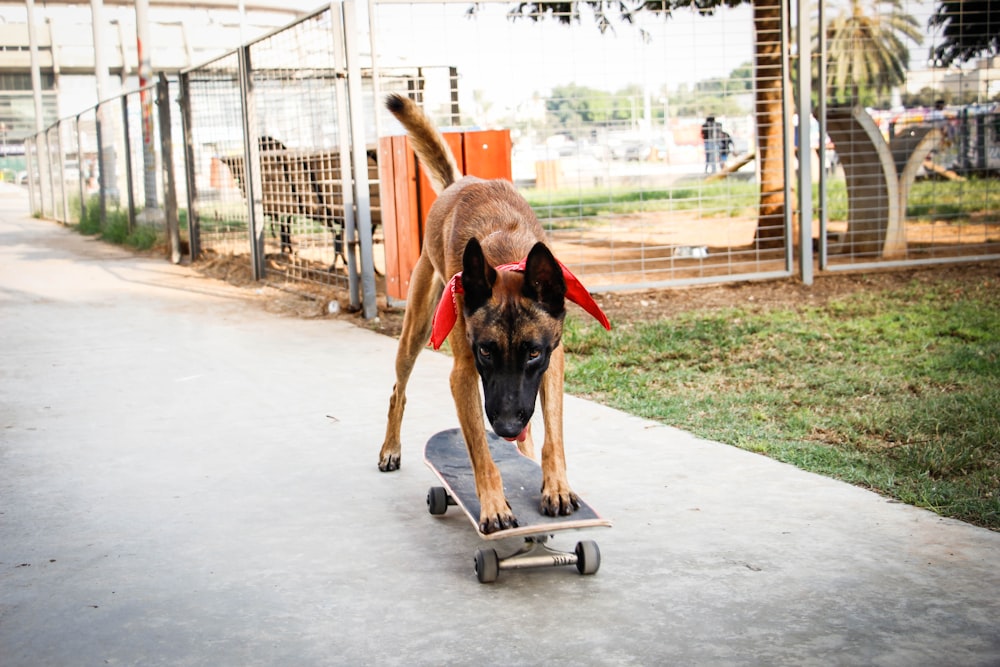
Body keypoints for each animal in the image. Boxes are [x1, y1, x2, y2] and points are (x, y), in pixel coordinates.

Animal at [376, 94, 604, 536]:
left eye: (533, 353)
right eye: (485, 352)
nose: (508, 428)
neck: (505, 255)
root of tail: (457, 181)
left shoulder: (553, 364)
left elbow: (553, 435)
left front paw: (556, 485)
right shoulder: (464, 374)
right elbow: (481, 452)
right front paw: (494, 505)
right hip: (415, 330)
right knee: (398, 390)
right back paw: (391, 448)